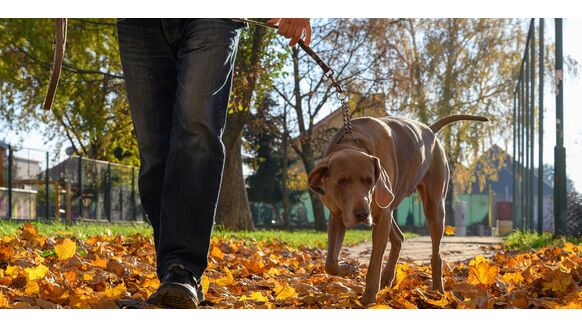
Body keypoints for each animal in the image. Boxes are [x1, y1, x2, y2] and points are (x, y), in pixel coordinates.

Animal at [308, 114, 490, 304]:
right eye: (342, 181)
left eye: (369, 181)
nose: (362, 214)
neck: (352, 141)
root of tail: (430, 130)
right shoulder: (337, 215)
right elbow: (330, 263)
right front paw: (348, 268)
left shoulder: (381, 215)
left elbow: (374, 262)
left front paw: (368, 299)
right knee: (399, 238)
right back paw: (387, 277)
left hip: (434, 206)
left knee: (436, 254)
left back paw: (438, 292)